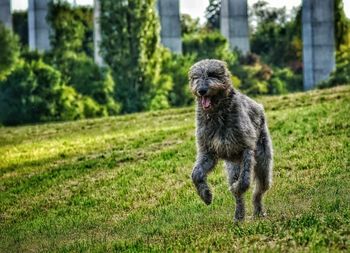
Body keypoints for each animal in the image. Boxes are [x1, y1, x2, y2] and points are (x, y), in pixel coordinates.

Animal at [189, 58, 274, 221]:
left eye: (212, 74)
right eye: (196, 77)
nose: (201, 90)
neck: (217, 113)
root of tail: (258, 106)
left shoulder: (246, 148)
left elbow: (245, 180)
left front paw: (237, 188)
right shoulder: (208, 152)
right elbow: (196, 174)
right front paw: (206, 195)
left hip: (263, 162)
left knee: (259, 189)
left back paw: (258, 211)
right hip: (232, 167)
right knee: (239, 195)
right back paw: (239, 216)